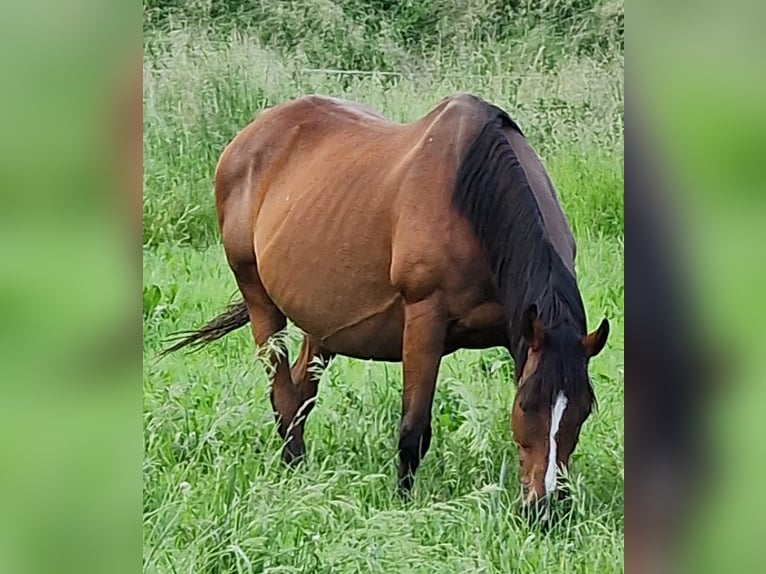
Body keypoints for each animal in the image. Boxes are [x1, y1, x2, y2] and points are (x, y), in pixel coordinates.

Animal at [163, 93, 610, 504]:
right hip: (260, 302)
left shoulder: (518, 330)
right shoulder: (424, 323)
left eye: (584, 409)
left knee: (302, 393)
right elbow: (413, 428)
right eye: (527, 406)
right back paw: (295, 472)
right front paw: (403, 502)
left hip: (322, 324)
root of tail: (246, 139)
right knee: (283, 396)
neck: (472, 198)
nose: (546, 508)